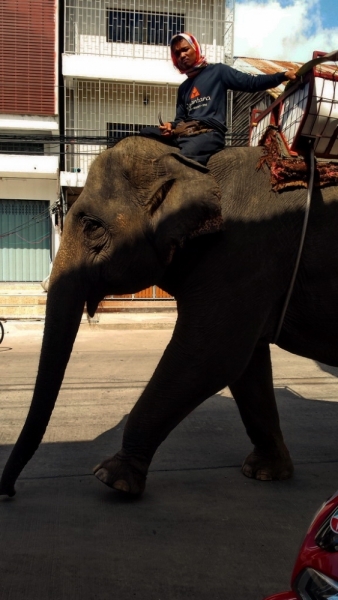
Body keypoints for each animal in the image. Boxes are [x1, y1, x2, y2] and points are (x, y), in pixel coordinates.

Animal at [0, 136, 338, 496]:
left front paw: (111, 478)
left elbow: (211, 356)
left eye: (92, 226)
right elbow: (246, 365)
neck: (195, 168)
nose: (9, 491)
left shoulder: (244, 255)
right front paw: (264, 472)